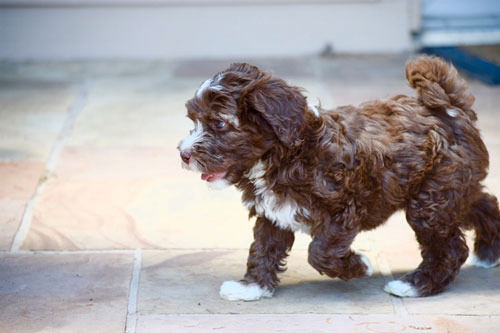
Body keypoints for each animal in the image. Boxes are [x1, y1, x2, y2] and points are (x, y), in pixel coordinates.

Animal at [178, 55, 498, 300]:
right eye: (194, 122)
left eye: (219, 124)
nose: (183, 154)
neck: (284, 155)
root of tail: (451, 109)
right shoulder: (273, 213)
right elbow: (263, 247)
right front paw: (252, 287)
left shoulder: (343, 208)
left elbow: (320, 252)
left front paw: (359, 266)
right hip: (452, 190)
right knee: (484, 203)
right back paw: (488, 253)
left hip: (430, 202)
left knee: (450, 247)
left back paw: (415, 285)